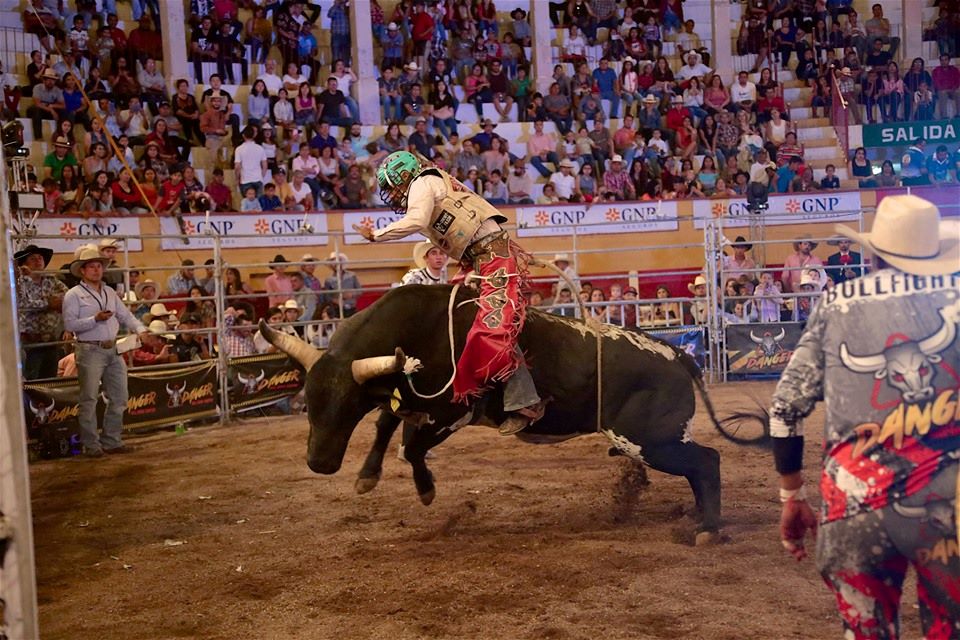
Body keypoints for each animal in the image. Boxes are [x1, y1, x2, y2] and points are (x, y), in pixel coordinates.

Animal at [262, 284, 752, 536]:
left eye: (348, 405)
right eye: (310, 402)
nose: (319, 462)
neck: (422, 328)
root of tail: (679, 354)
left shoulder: (451, 413)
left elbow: (410, 447)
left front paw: (426, 489)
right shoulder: (410, 398)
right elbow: (388, 424)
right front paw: (367, 476)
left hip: (650, 440)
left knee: (707, 461)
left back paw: (709, 528)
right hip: (659, 440)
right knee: (701, 466)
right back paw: (700, 518)